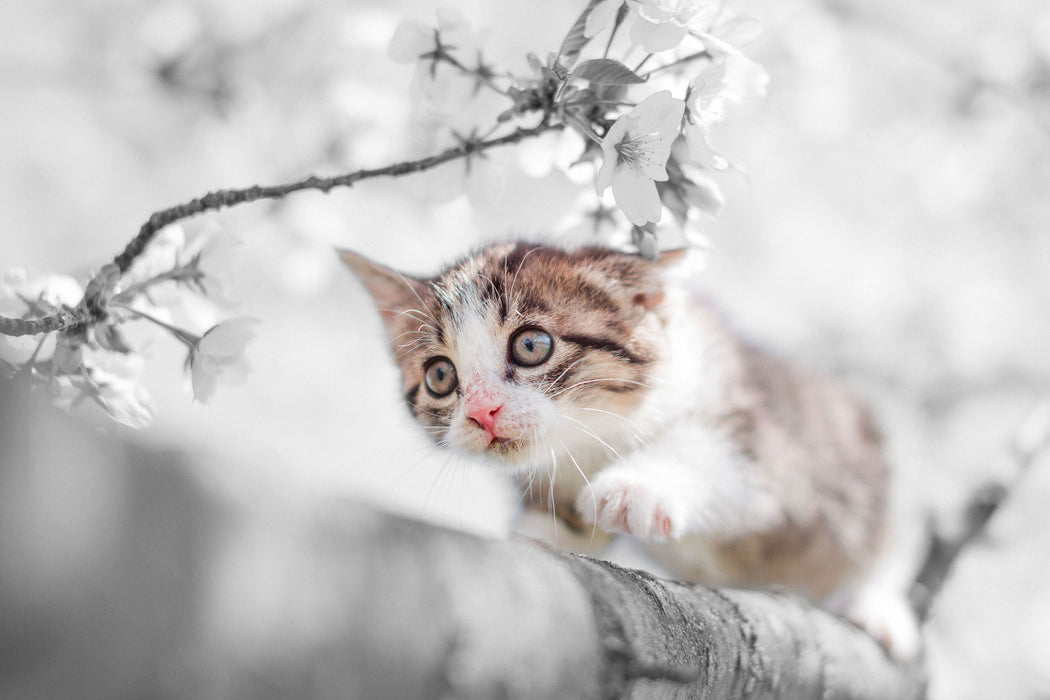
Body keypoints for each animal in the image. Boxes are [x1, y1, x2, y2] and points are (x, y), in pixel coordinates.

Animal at [342, 242, 919, 659]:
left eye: (531, 345)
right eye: (441, 376)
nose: (484, 412)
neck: (596, 433)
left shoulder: (761, 429)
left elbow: (715, 451)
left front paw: (633, 488)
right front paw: (542, 531)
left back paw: (876, 604)